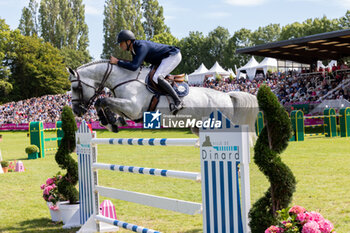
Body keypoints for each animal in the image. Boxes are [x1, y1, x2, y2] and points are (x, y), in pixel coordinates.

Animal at [68, 60, 260, 144]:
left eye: (75, 87)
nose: (76, 111)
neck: (124, 78)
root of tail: (228, 96)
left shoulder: (133, 108)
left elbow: (102, 100)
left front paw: (109, 122)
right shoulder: (128, 109)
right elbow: (104, 103)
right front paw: (112, 122)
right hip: (197, 127)